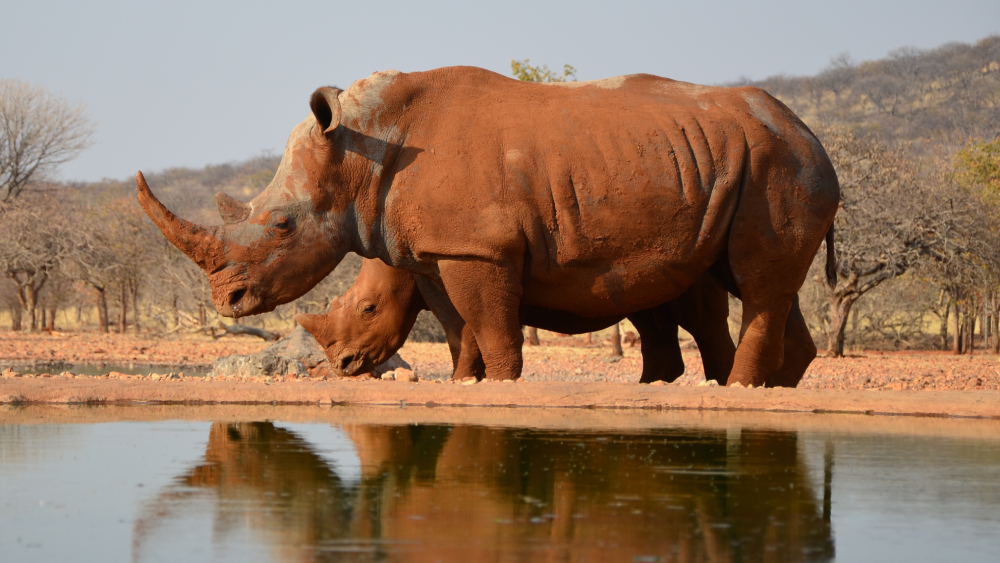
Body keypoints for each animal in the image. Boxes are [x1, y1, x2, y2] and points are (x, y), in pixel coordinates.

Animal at [293, 257, 736, 383]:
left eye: (368, 309)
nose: (342, 366)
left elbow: (459, 331)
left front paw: (462, 381)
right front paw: (476, 380)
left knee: (699, 320)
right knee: (651, 317)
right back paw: (653, 385)